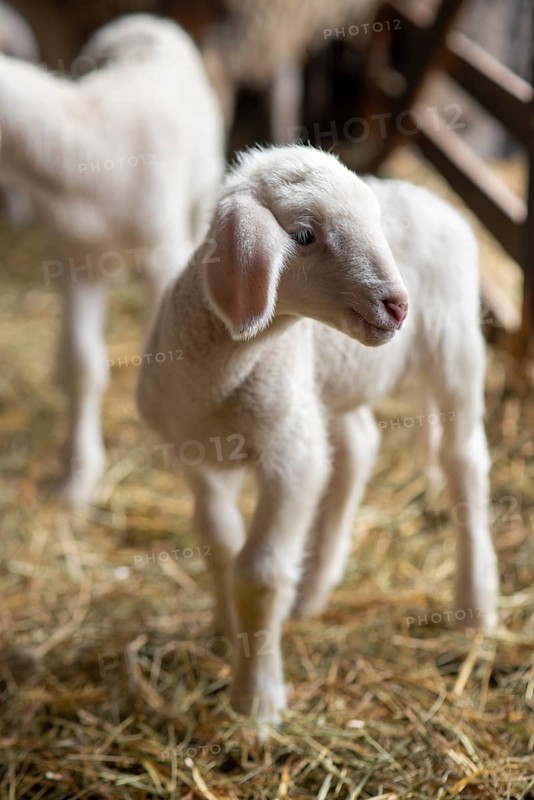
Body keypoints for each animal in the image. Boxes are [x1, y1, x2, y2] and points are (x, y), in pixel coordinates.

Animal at [0, 14, 225, 505]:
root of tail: (146, 25)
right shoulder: (74, 262)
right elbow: (83, 364)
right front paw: (77, 480)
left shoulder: (162, 252)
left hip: (204, 182)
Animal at [136, 144, 499, 726]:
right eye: (304, 234)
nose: (398, 306)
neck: (223, 371)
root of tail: (431, 197)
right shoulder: (197, 457)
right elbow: (219, 543)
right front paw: (227, 631)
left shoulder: (290, 458)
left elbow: (259, 573)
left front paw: (258, 701)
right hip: (330, 384)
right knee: (359, 447)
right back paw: (314, 590)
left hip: (456, 346)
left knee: (463, 460)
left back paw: (476, 603)